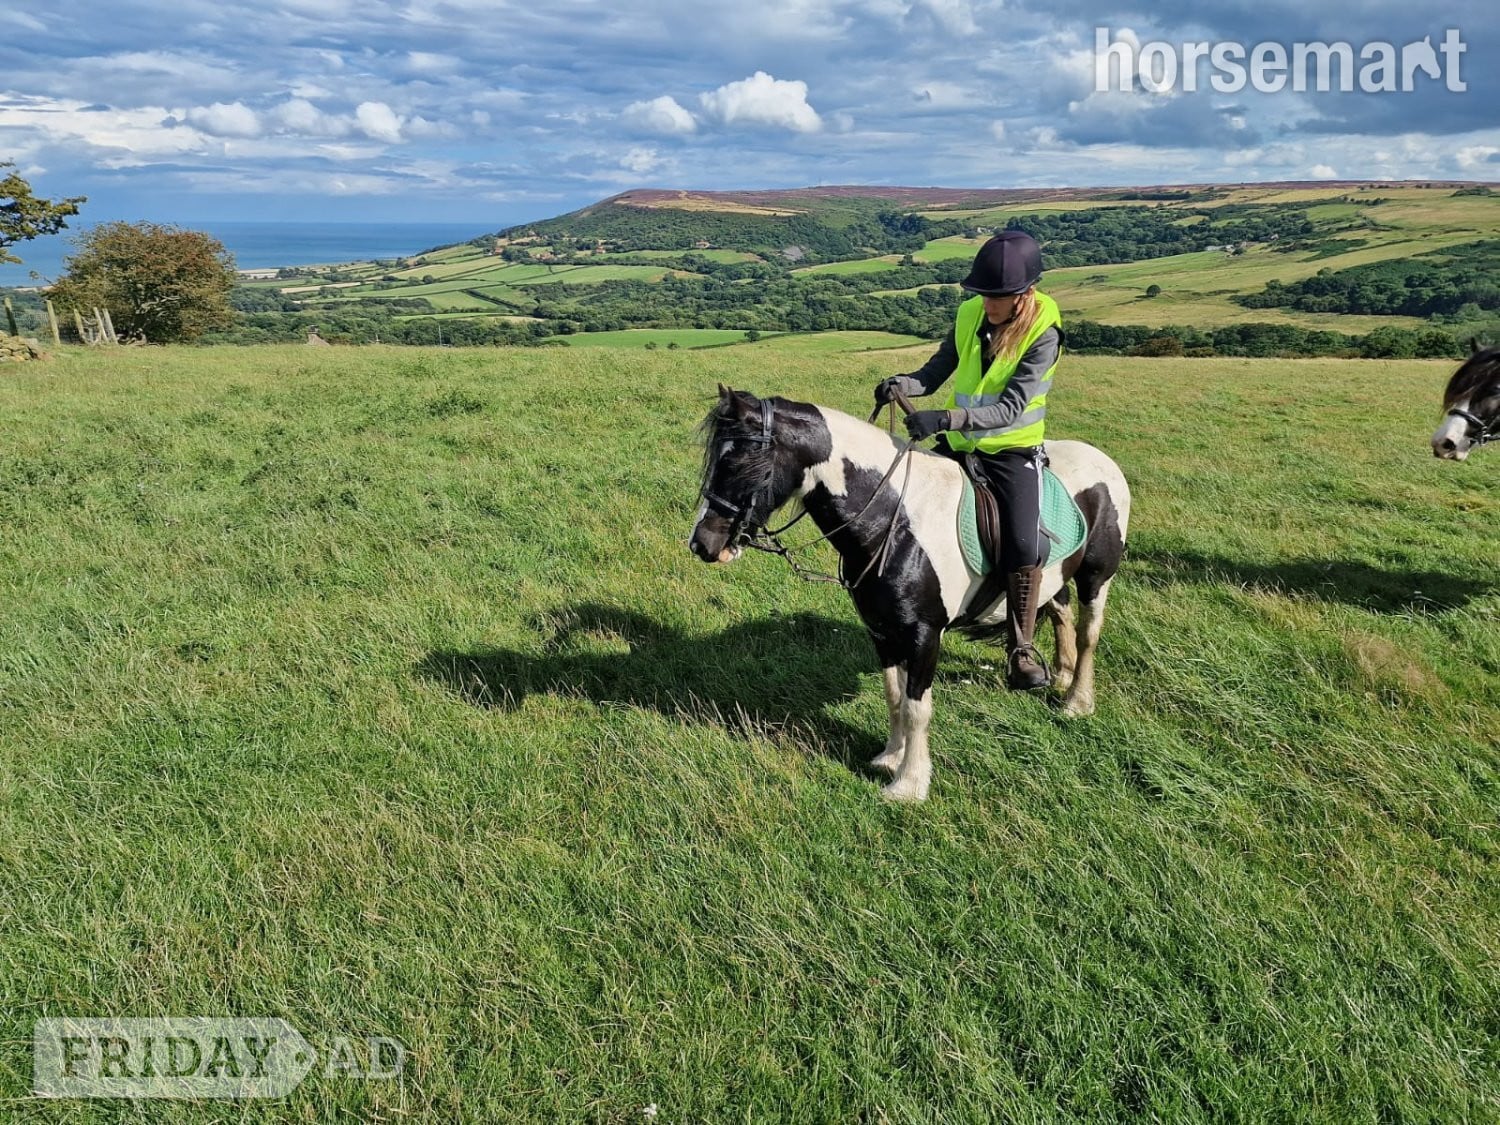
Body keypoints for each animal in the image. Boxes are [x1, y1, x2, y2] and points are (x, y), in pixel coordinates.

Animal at [689, 386, 1131, 802]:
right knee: (1059, 612)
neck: (894, 520)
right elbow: (894, 696)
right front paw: (889, 757)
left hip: (1096, 576)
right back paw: (1059, 674)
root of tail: (1103, 460)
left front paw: (910, 784)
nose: (703, 545)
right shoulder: (882, 629)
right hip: (1056, 577)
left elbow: (918, 707)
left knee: (1088, 633)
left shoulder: (923, 634)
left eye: (738, 462)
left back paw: (1077, 701)